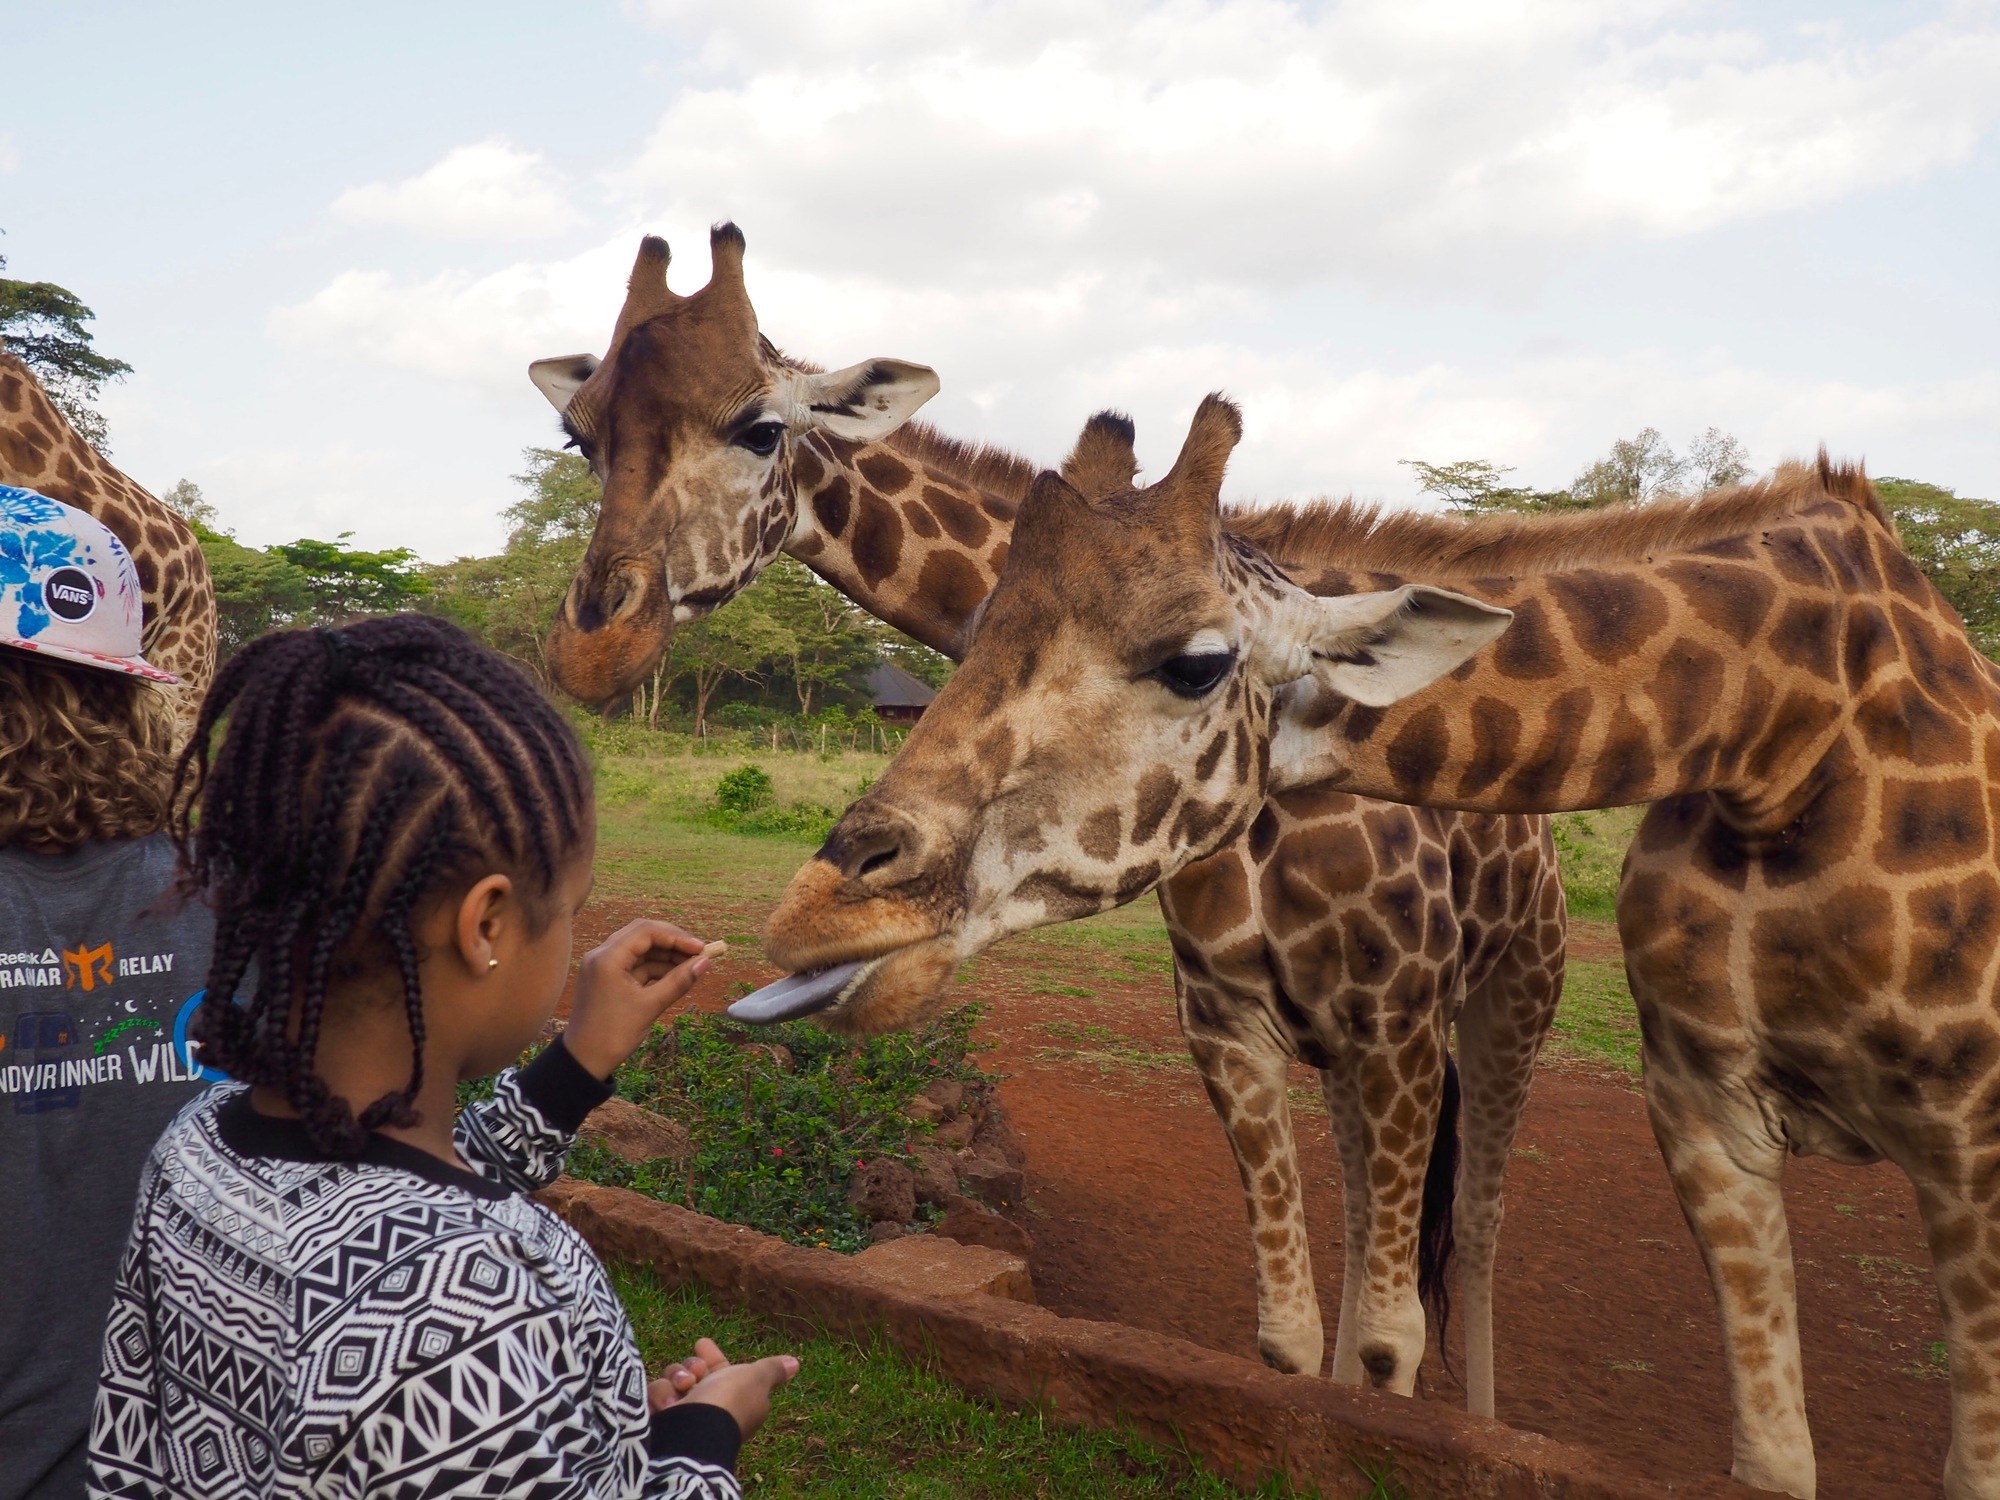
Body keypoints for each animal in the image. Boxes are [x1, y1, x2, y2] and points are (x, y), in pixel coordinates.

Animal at [536, 229, 1576, 1416]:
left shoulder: (1393, 1020)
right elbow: (1296, 1329)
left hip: (1509, 993)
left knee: (1478, 1230)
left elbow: (1391, 1340)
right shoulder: (1242, 1021)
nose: (592, 648)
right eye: (579, 438)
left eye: (760, 428)